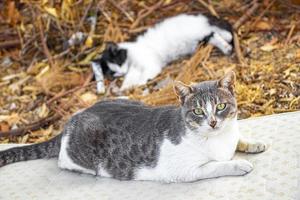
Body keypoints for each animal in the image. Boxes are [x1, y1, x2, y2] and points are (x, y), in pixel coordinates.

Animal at [0, 72, 268, 183]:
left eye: (221, 106)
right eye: (198, 111)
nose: (213, 122)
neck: (219, 139)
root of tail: (73, 118)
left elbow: (240, 138)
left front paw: (254, 143)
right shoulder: (187, 171)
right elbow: (216, 165)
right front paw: (239, 164)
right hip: (81, 156)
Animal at [91, 13, 234, 93]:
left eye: (119, 61)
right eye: (113, 73)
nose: (121, 72)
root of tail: (202, 17)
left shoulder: (149, 63)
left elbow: (148, 72)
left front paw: (140, 82)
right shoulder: (134, 70)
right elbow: (131, 77)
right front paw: (125, 87)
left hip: (199, 32)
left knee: (216, 34)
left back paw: (227, 46)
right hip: (200, 41)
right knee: (212, 36)